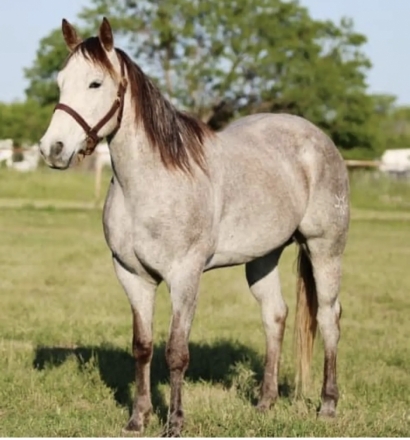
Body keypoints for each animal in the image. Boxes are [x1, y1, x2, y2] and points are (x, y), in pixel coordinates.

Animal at [38, 17, 350, 436]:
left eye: (95, 84)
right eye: (61, 81)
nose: (52, 149)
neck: (150, 184)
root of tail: (318, 139)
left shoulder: (184, 276)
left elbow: (176, 352)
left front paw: (174, 422)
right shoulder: (132, 276)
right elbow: (143, 346)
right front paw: (138, 418)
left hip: (325, 248)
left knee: (329, 317)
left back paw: (328, 405)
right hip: (263, 258)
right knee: (275, 315)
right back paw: (265, 403)